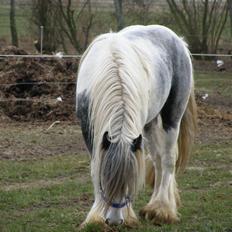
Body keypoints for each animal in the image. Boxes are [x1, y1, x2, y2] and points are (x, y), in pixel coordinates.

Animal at [76, 24, 196, 227]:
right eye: (106, 181)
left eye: (130, 184)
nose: (115, 221)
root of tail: (178, 40)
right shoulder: (89, 131)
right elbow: (95, 168)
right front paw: (95, 217)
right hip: (149, 124)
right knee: (157, 160)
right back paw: (152, 207)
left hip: (172, 118)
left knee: (168, 159)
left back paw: (162, 209)